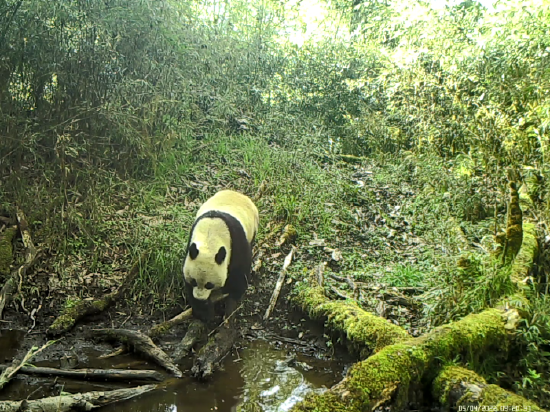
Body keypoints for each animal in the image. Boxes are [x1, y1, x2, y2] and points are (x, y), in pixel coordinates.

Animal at [182, 190, 258, 322]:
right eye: (194, 281)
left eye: (209, 284)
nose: (200, 298)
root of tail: (236, 192)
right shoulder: (191, 245)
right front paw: (204, 312)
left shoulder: (236, 243)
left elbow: (239, 276)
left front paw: (230, 306)